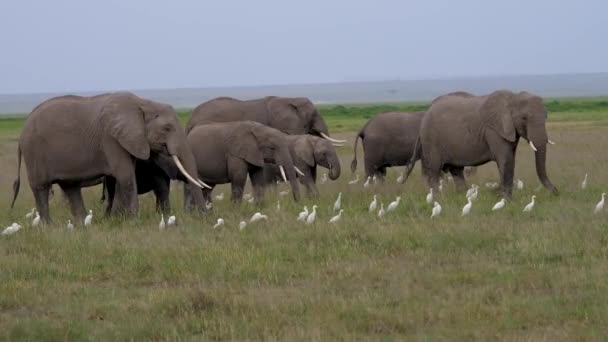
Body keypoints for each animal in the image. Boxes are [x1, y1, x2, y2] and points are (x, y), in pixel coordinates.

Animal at [9, 92, 208, 223]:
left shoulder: (129, 140)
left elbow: (121, 177)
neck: (143, 103)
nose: (204, 216)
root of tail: (22, 131)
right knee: (41, 187)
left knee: (71, 187)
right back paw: (48, 227)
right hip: (34, 152)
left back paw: (83, 224)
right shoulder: (110, 139)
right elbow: (125, 175)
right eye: (167, 128)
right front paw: (133, 220)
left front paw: (119, 219)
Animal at [406, 89, 560, 199]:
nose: (556, 192)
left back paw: (462, 196)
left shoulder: (509, 129)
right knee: (434, 170)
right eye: (524, 118)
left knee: (456, 171)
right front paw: (506, 199)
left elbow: (510, 158)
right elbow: (506, 159)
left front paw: (504, 197)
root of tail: (427, 111)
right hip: (431, 139)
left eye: (546, 116)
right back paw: (438, 199)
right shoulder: (493, 130)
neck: (512, 97)